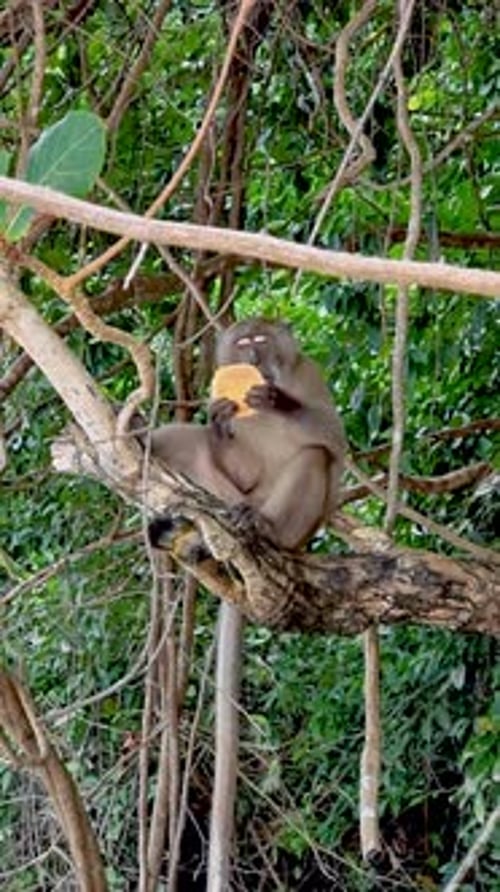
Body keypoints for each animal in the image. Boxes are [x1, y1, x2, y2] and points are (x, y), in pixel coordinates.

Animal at [147, 318, 345, 551]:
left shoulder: (308, 371)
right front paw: (218, 419)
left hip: (293, 530)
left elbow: (333, 433)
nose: (253, 358)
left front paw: (275, 400)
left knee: (315, 454)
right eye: (242, 343)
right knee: (181, 441)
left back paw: (269, 527)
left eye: (260, 339)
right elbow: (236, 463)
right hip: (232, 498)